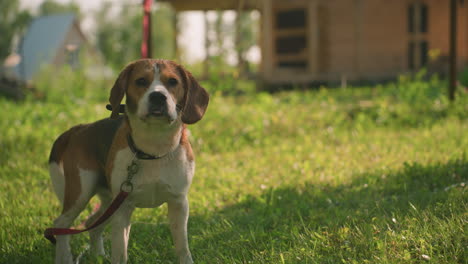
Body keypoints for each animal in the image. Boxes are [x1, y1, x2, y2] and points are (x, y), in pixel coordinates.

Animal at [48, 58, 208, 262]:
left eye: (173, 82)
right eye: (141, 81)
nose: (158, 97)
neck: (154, 148)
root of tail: (80, 128)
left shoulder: (178, 203)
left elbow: (182, 248)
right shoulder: (122, 210)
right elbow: (120, 252)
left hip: (108, 201)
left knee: (93, 223)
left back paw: (99, 256)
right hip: (81, 193)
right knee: (61, 225)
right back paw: (66, 258)